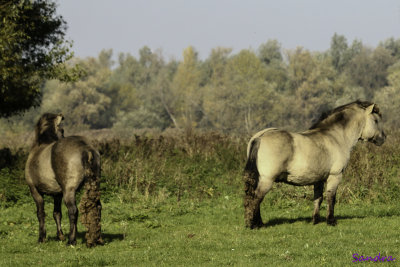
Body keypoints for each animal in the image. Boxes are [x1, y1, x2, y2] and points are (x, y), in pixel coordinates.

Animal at [24, 113, 103, 247]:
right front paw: (60, 236)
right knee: (97, 207)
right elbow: (57, 213)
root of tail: (86, 148)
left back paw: (72, 240)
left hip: (69, 190)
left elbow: (40, 214)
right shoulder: (57, 194)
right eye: (62, 130)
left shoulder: (35, 191)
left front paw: (41, 238)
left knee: (73, 211)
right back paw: (96, 238)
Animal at [242, 101, 386, 229]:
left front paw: (315, 220)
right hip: (267, 179)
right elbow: (331, 198)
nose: (383, 138)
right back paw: (256, 224)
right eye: (376, 120)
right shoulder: (335, 176)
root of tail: (259, 137)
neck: (335, 137)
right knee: (256, 198)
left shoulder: (318, 179)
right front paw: (331, 221)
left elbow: (318, 198)